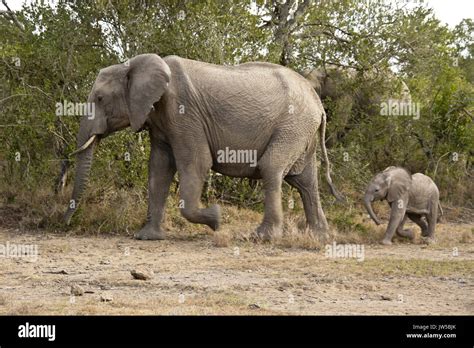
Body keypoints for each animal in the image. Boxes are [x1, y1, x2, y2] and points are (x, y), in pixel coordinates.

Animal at [65, 53, 340, 241]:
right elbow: (159, 169)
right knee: (305, 181)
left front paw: (217, 219)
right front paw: (147, 237)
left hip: (293, 125)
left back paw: (261, 238)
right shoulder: (161, 120)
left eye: (100, 99)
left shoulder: (184, 112)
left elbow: (196, 163)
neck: (135, 63)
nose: (65, 223)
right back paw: (320, 237)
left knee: (272, 168)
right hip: (301, 130)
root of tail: (318, 102)